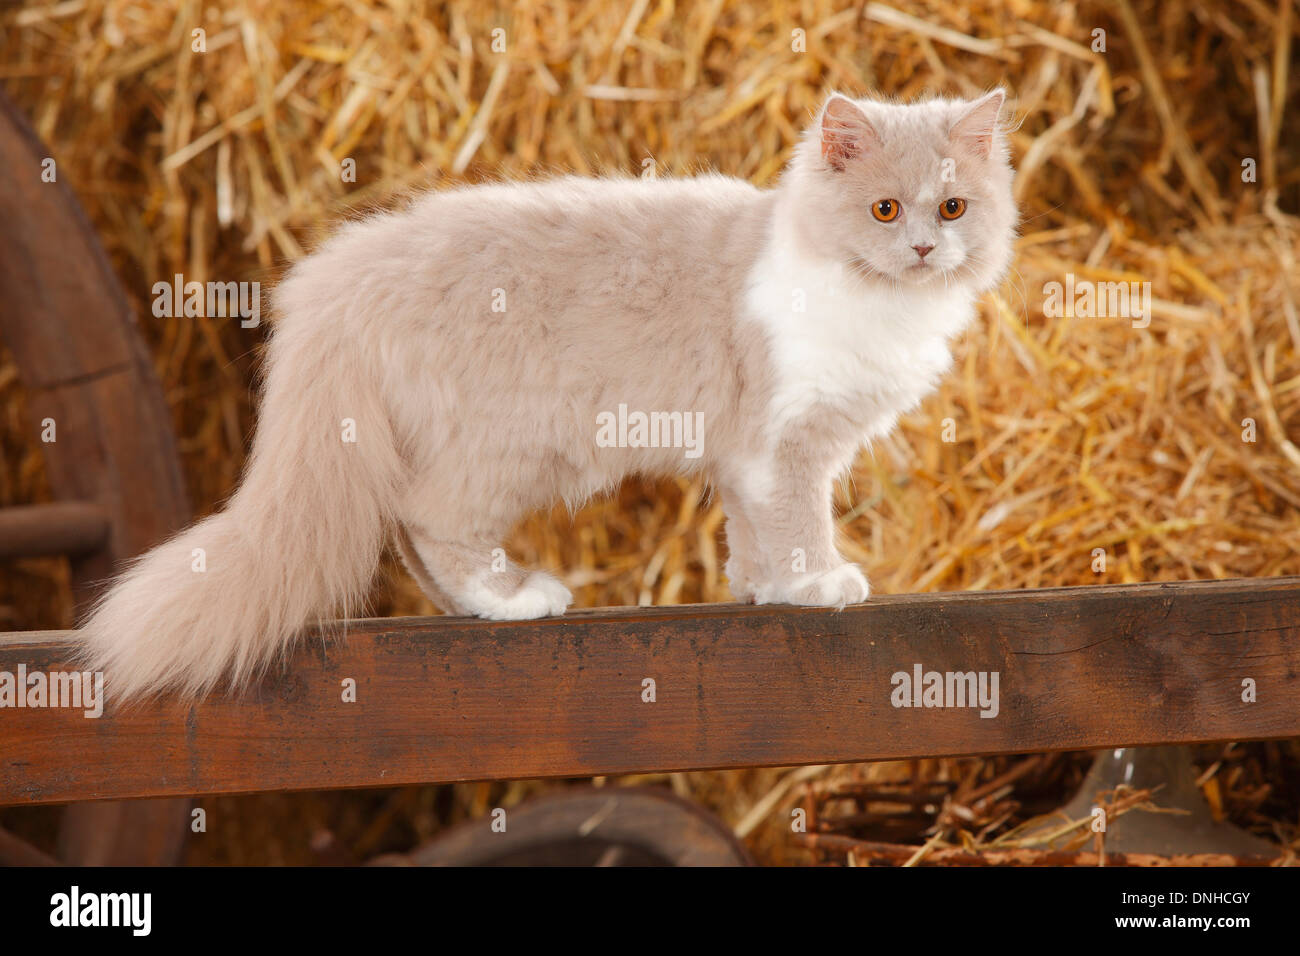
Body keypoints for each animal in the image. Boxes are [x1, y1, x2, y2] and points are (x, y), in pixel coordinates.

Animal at [78, 89, 1013, 697]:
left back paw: (476, 608)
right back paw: (516, 599)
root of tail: (343, 278)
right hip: (504, 449)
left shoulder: (747, 455)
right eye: (886, 210)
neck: (876, 302)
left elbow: (749, 533)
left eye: (953, 209)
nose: (924, 249)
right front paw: (820, 583)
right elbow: (797, 523)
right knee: (433, 522)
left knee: (413, 537)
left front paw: (764, 589)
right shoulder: (786, 440)